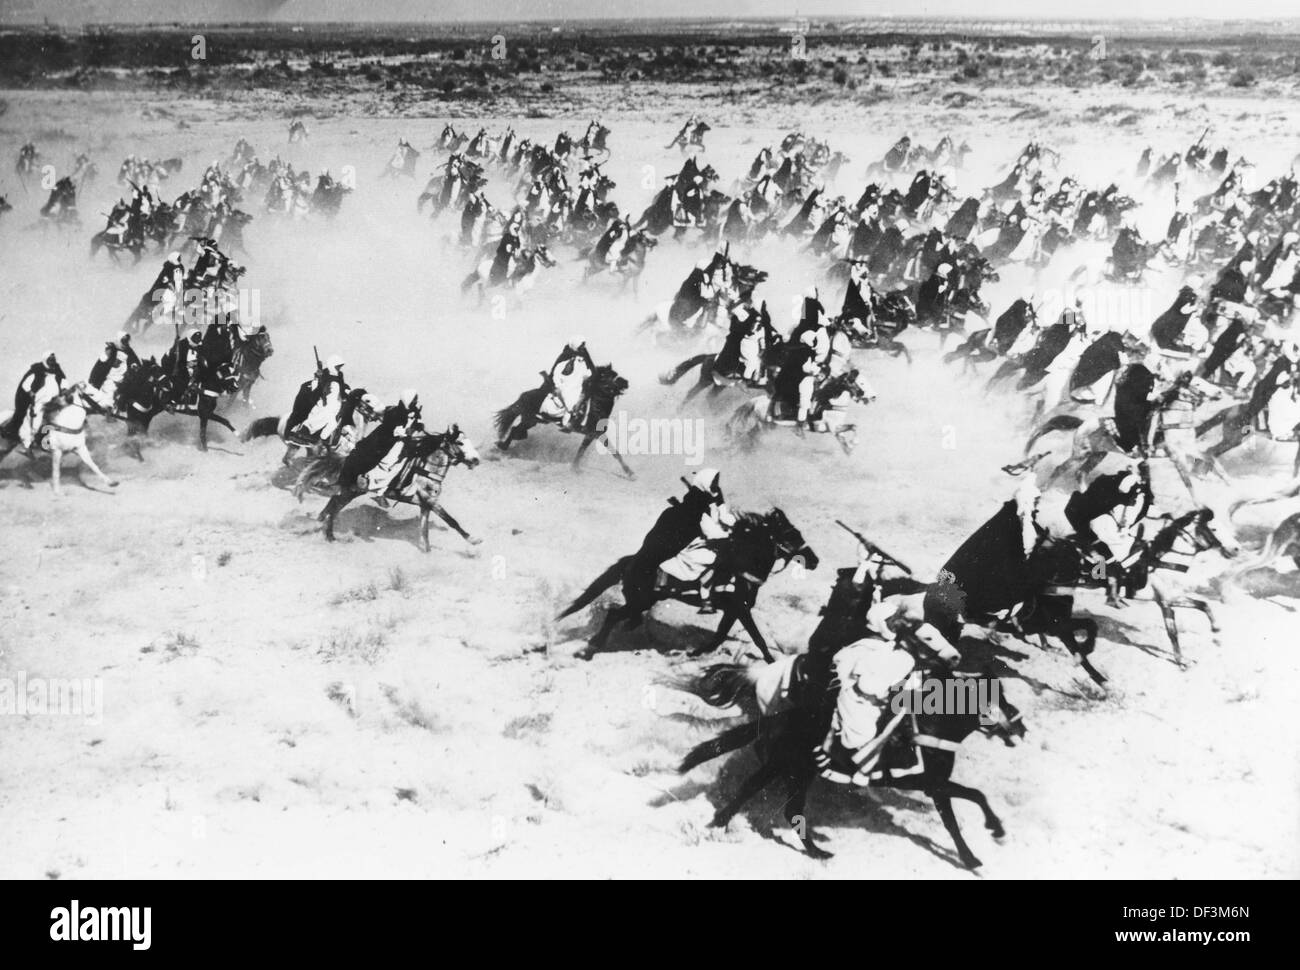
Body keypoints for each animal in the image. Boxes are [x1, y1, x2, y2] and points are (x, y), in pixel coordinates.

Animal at [491, 361, 634, 473]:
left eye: (615, 375)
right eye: (605, 377)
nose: (625, 382)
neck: (596, 407)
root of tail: (525, 395)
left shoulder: (596, 434)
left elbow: (611, 452)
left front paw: (630, 473)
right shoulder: (591, 433)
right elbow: (587, 450)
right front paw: (575, 468)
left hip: (533, 421)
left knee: (516, 431)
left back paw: (502, 445)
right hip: (529, 419)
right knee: (515, 430)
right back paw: (502, 446)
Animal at [553, 507, 816, 657]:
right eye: (792, 536)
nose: (814, 560)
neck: (741, 565)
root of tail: (633, 560)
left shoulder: (733, 611)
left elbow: (720, 635)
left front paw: (697, 652)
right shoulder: (739, 609)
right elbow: (758, 639)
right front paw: (771, 662)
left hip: (641, 601)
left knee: (624, 617)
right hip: (640, 600)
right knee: (613, 615)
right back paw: (593, 648)